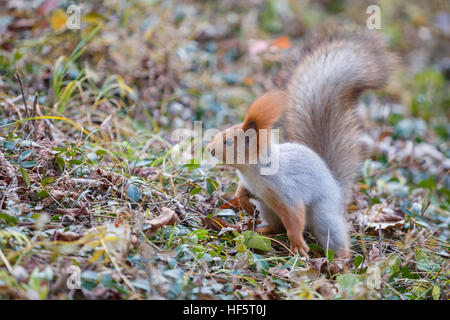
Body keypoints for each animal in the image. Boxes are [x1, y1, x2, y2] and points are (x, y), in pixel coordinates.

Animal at [206, 31, 396, 258]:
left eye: (227, 141)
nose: (209, 149)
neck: (251, 171)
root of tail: (336, 186)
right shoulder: (252, 186)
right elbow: (242, 192)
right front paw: (243, 202)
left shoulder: (286, 191)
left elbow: (294, 217)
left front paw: (298, 245)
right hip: (267, 208)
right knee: (277, 225)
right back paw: (264, 229)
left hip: (323, 215)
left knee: (331, 235)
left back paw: (340, 261)